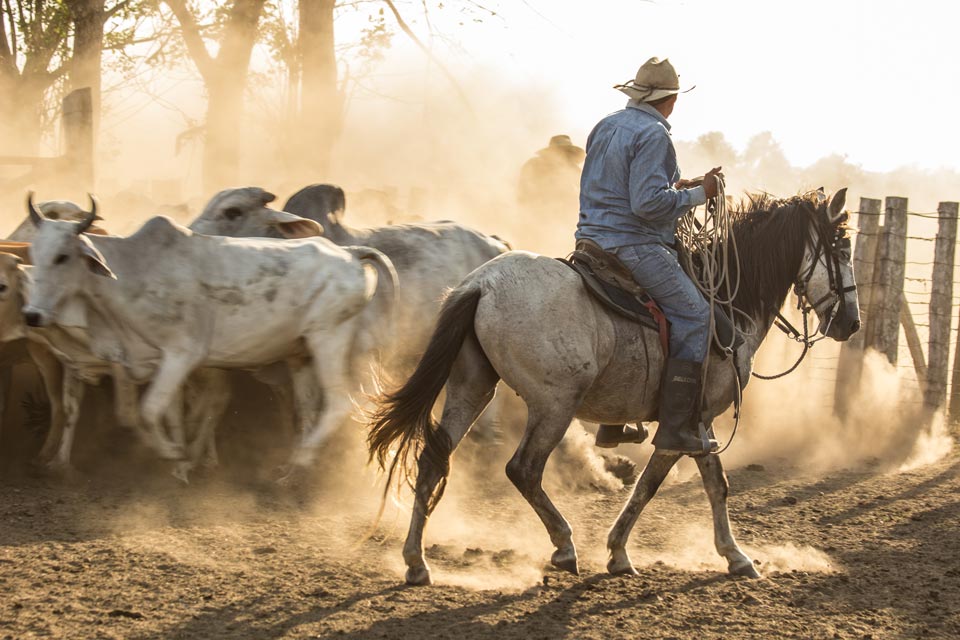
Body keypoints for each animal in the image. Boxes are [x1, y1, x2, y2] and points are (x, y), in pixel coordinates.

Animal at [24, 195, 396, 470]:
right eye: (34, 253)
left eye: (62, 256)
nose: (31, 314)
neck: (133, 270)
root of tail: (349, 254)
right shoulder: (138, 360)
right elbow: (142, 414)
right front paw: (179, 458)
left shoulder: (182, 353)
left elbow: (149, 410)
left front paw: (175, 455)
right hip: (304, 354)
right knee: (309, 410)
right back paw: (290, 466)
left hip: (329, 339)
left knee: (339, 402)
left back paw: (302, 463)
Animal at [372, 188, 860, 584]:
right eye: (842, 246)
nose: (851, 324)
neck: (726, 301)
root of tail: (481, 284)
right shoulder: (687, 423)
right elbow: (659, 484)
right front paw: (627, 552)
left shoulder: (693, 422)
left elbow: (704, 483)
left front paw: (728, 555)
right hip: (555, 403)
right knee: (523, 469)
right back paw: (564, 546)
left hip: (472, 388)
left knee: (432, 459)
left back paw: (416, 562)